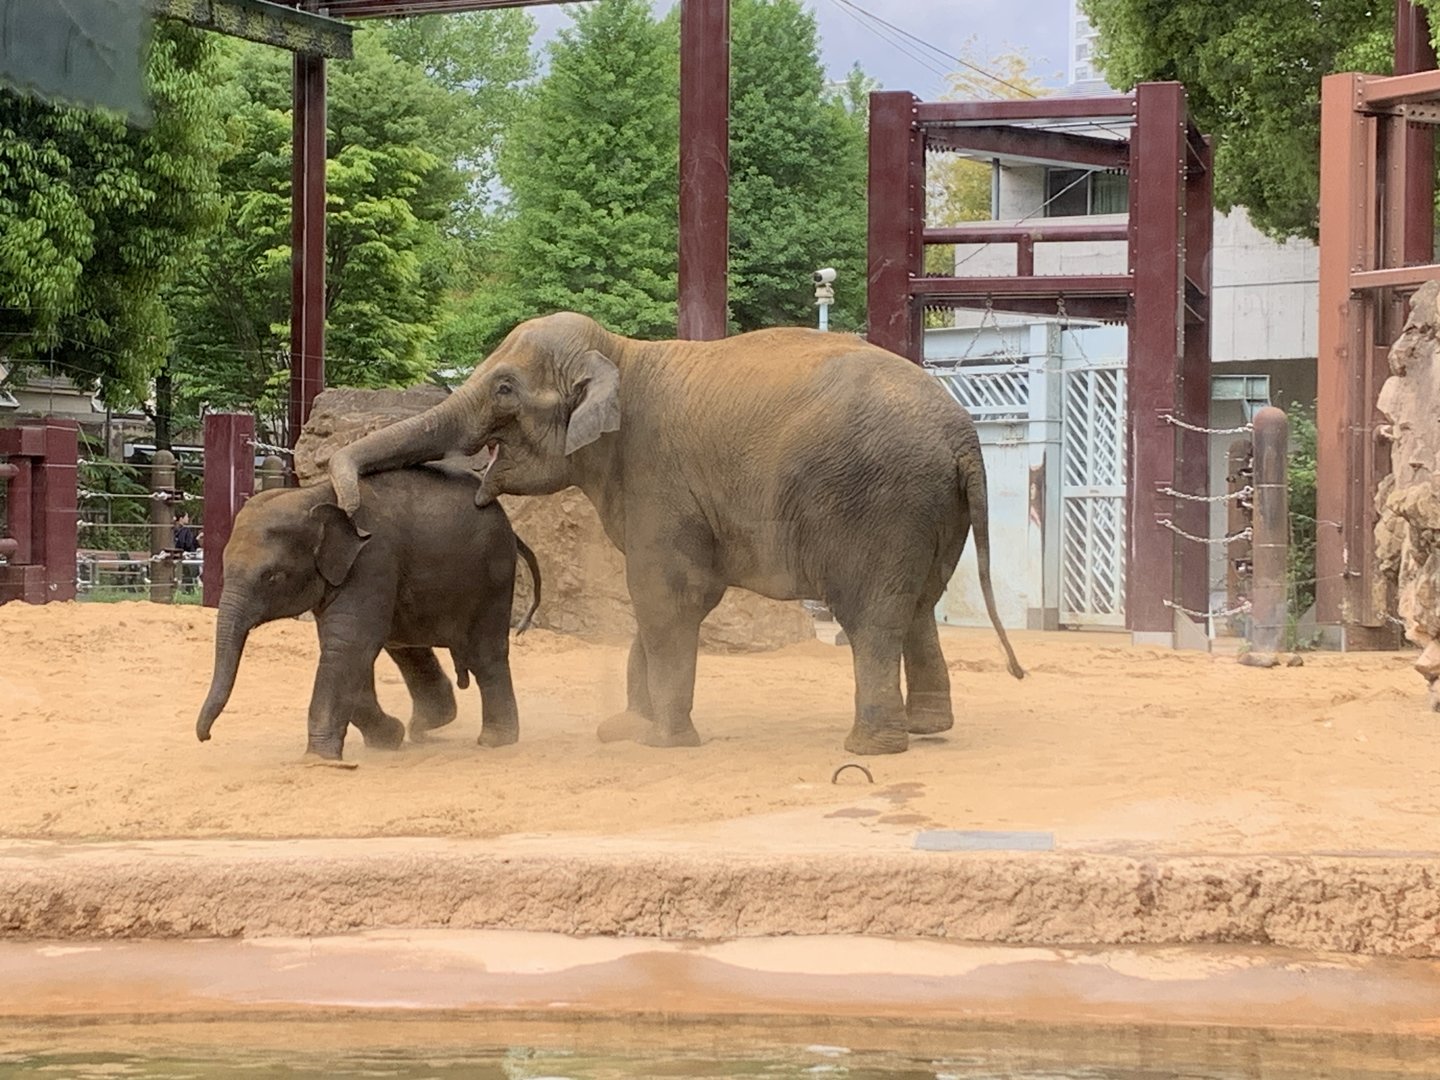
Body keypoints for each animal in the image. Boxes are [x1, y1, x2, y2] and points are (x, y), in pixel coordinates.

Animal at [195, 463, 542, 763]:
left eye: (272, 577)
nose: (206, 737)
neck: (316, 495)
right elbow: (346, 648)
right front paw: (390, 739)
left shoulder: (372, 559)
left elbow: (348, 645)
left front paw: (320, 761)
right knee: (405, 644)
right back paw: (426, 726)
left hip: (494, 575)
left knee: (484, 652)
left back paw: (494, 741)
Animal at [326, 311, 1023, 756]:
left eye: (503, 388)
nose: (352, 506)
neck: (620, 352)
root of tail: (963, 437)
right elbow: (663, 601)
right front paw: (624, 730)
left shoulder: (656, 478)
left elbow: (668, 594)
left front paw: (663, 741)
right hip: (930, 509)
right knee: (918, 608)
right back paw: (928, 728)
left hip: (878, 504)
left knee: (873, 618)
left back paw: (872, 748)